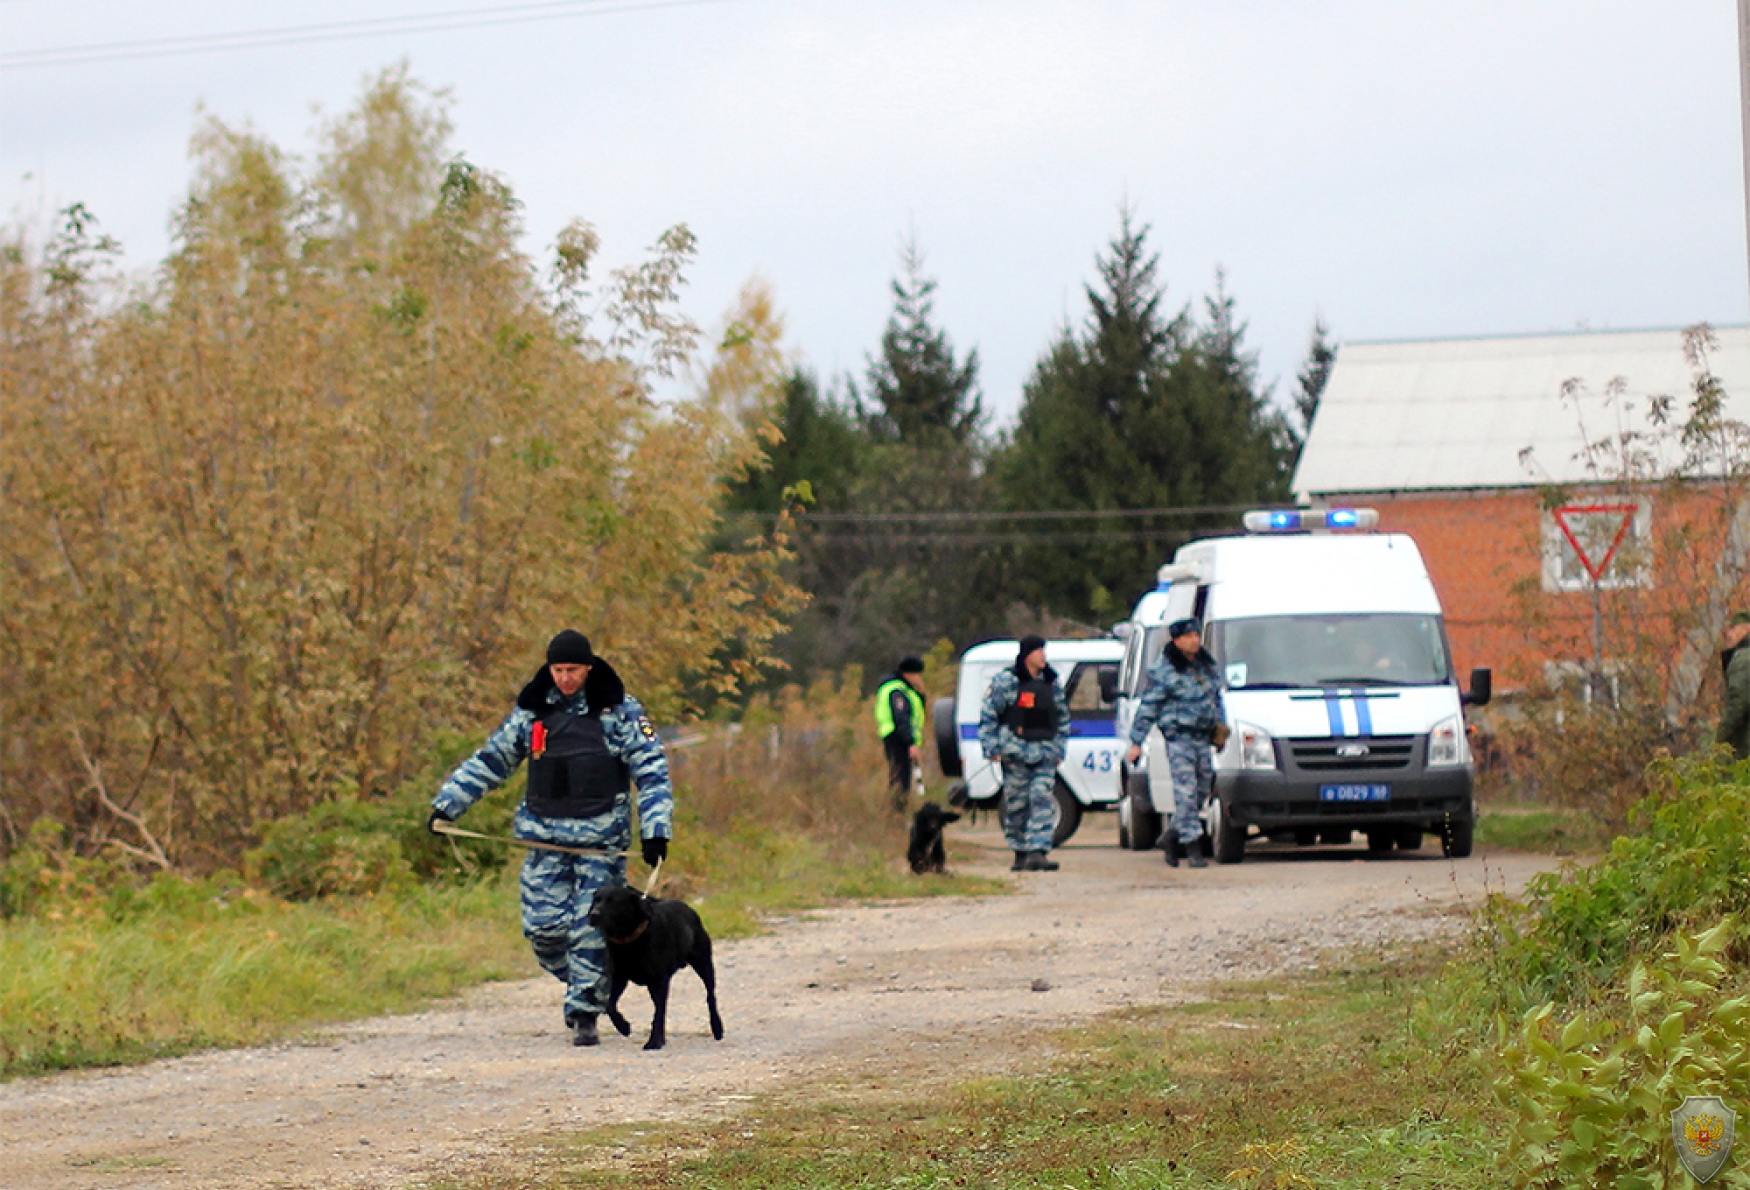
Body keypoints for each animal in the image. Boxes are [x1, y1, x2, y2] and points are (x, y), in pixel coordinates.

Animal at [588, 882, 724, 1050]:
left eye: (614, 902)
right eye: (596, 900)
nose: (593, 914)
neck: (630, 941)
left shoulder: (659, 981)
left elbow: (659, 1013)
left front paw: (654, 1041)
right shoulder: (619, 977)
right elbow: (609, 1005)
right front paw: (623, 1026)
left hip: (704, 964)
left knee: (710, 996)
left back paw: (717, 1027)